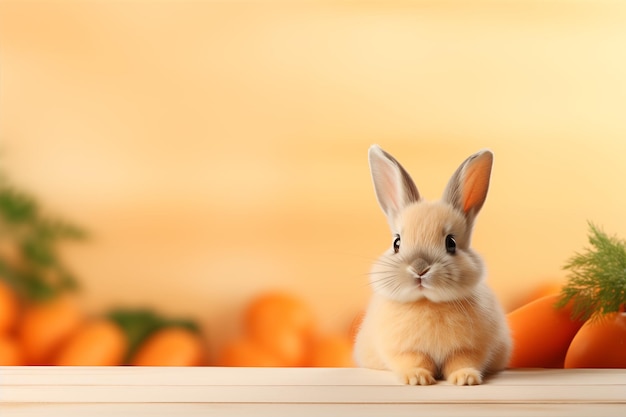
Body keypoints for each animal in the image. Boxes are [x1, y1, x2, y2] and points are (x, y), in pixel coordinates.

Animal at [354, 145, 510, 386]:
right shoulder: (403, 350)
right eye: (397, 243)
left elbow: (462, 361)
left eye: (451, 243)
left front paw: (465, 379)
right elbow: (413, 360)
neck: (427, 302)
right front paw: (417, 378)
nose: (420, 268)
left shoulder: (469, 349)